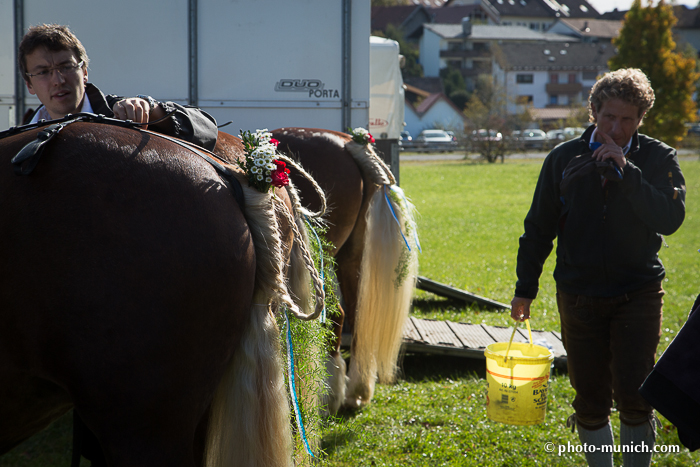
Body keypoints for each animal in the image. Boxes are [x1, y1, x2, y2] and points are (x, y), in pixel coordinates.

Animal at [270, 127, 418, 414]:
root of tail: (349, 143)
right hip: (350, 256)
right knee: (355, 314)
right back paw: (356, 391)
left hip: (323, 257)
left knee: (337, 313)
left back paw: (329, 396)